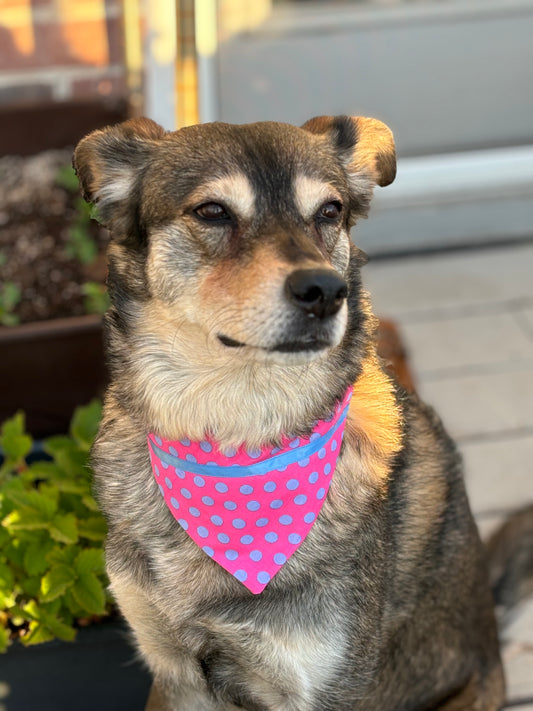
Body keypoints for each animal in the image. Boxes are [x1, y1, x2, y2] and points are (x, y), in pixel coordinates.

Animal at [74, 114, 508, 708]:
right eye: (212, 211)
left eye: (329, 211)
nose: (325, 290)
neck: (237, 435)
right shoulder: (173, 672)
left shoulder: (325, 685)